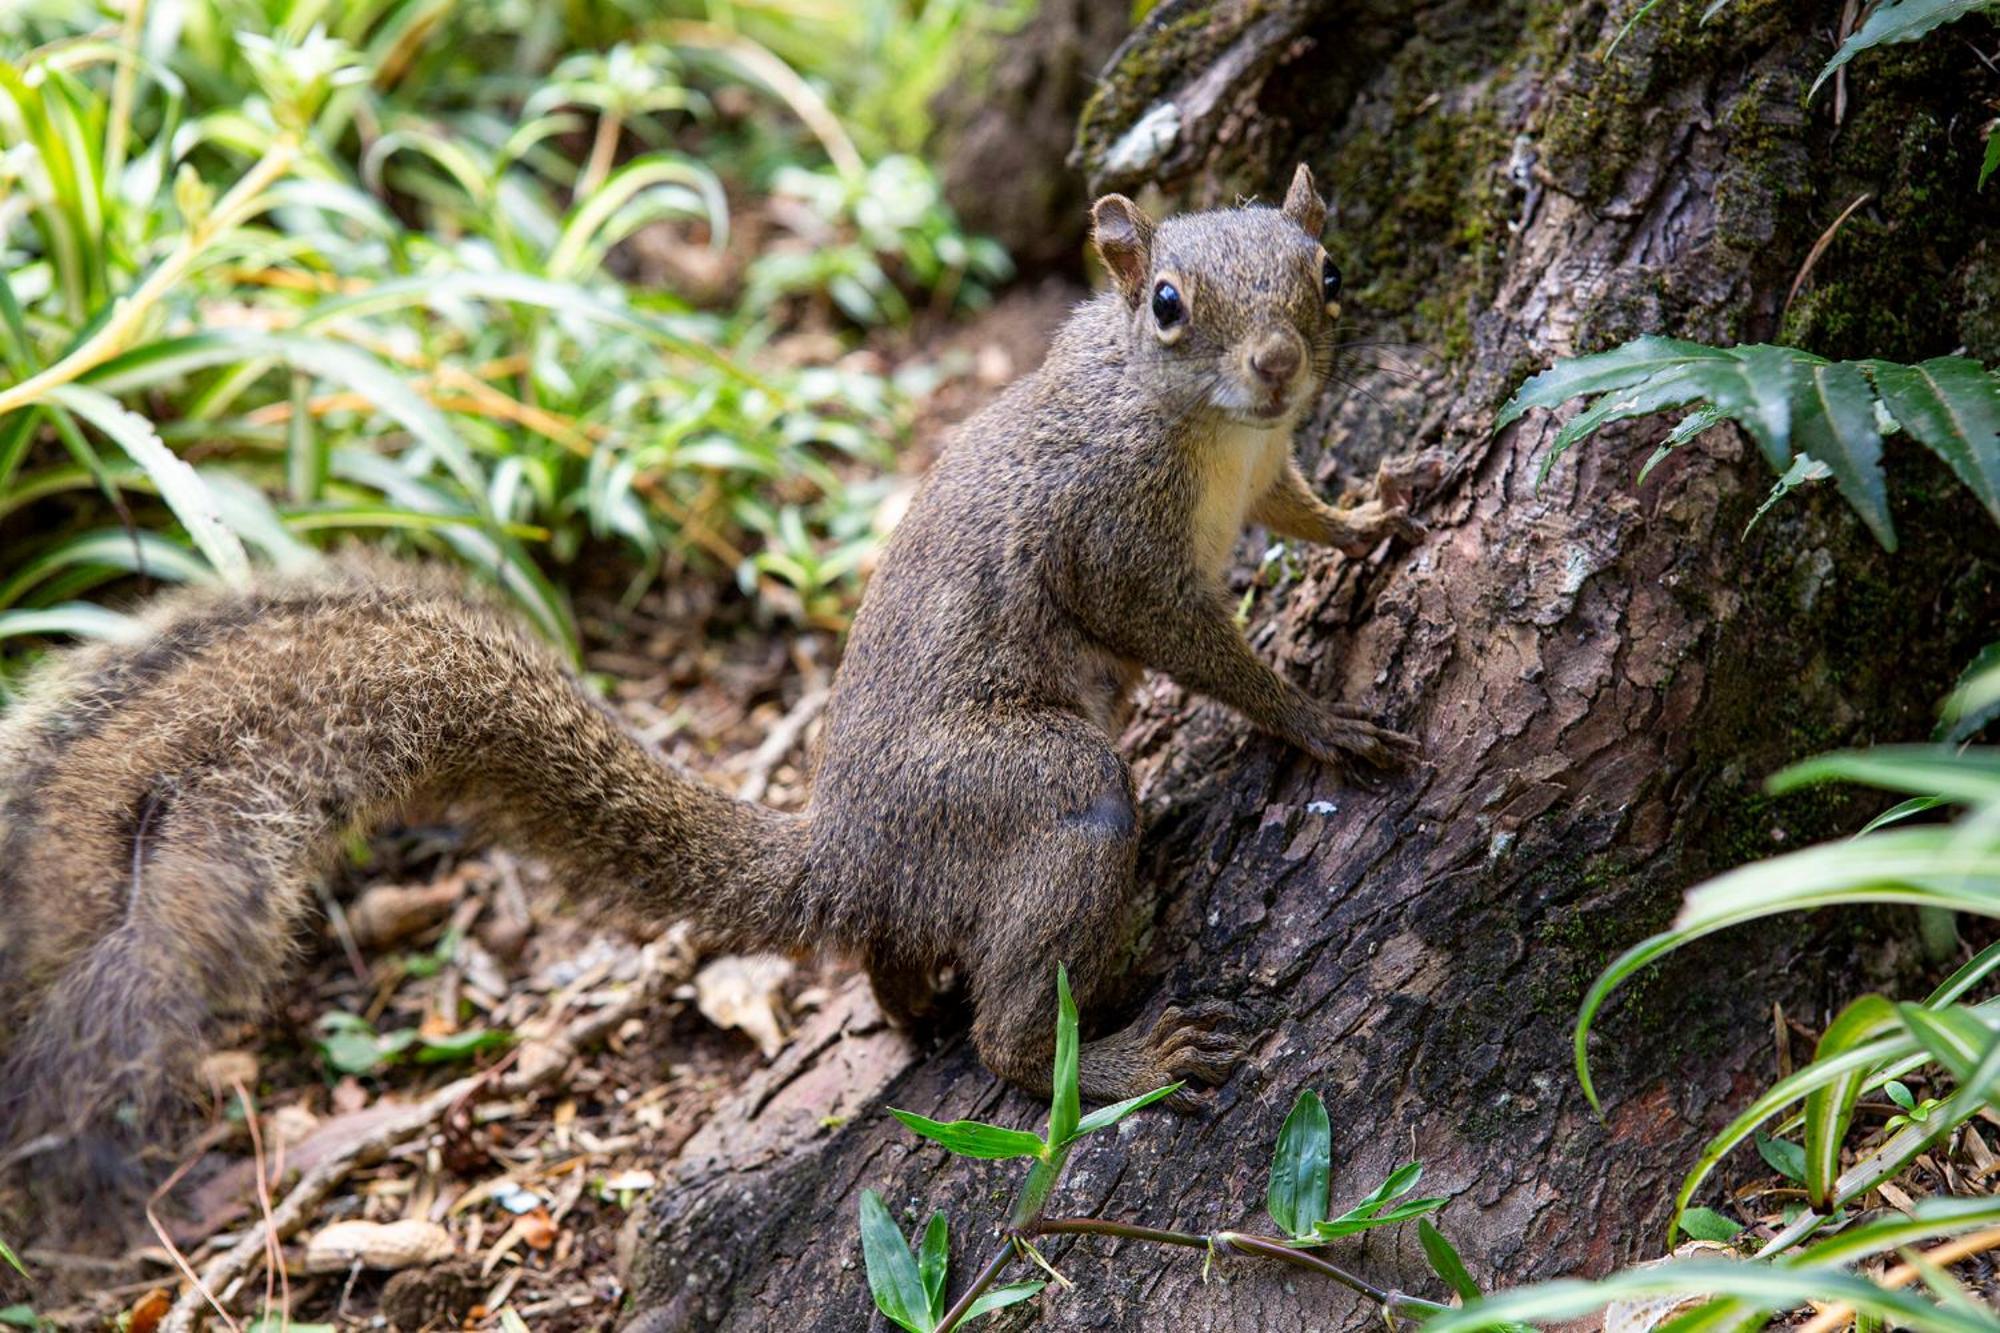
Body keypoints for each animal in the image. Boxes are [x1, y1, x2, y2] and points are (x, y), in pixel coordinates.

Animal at [0, 161, 1432, 1200]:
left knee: (902, 971)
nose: (1278, 368)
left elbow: (1302, 510)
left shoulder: (1263, 470)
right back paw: (1114, 1039)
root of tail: (852, 852)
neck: (1203, 432)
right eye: (1168, 305)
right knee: (1011, 1017)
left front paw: (1377, 516)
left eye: (1326, 273)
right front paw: (1315, 716)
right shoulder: (1110, 540)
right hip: (1033, 790)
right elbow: (1193, 643)